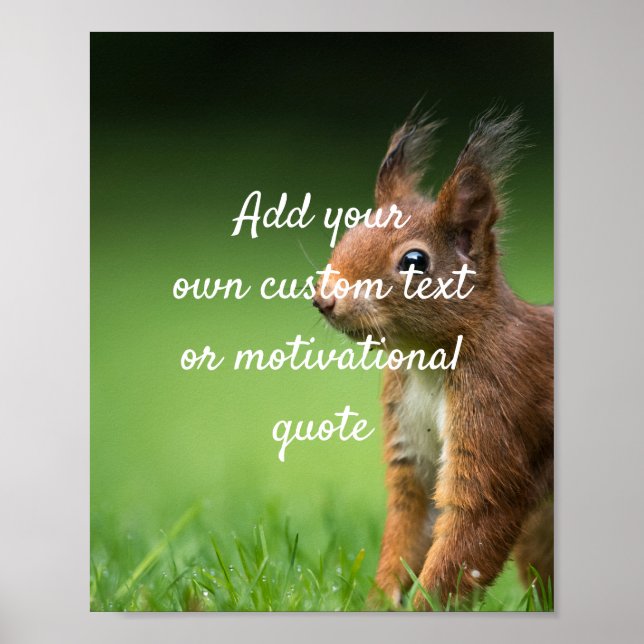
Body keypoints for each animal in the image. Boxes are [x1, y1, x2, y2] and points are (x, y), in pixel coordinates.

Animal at [312, 108, 554, 610]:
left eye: (414, 261)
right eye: (348, 234)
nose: (324, 300)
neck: (426, 362)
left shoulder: (498, 408)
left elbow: (472, 525)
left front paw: (425, 606)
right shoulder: (411, 443)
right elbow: (409, 523)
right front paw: (377, 603)